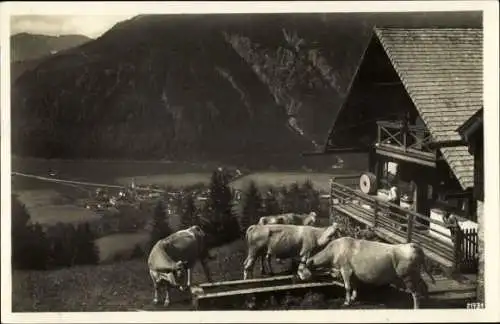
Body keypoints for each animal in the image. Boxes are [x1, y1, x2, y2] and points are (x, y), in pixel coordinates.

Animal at [296, 237, 434, 310]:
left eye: (300, 270)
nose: (298, 278)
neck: (335, 251)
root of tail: (413, 245)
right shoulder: (353, 272)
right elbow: (354, 285)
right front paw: (353, 298)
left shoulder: (345, 269)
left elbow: (347, 287)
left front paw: (347, 302)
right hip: (416, 274)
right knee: (424, 286)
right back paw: (427, 303)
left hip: (407, 276)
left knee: (416, 293)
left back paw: (416, 308)